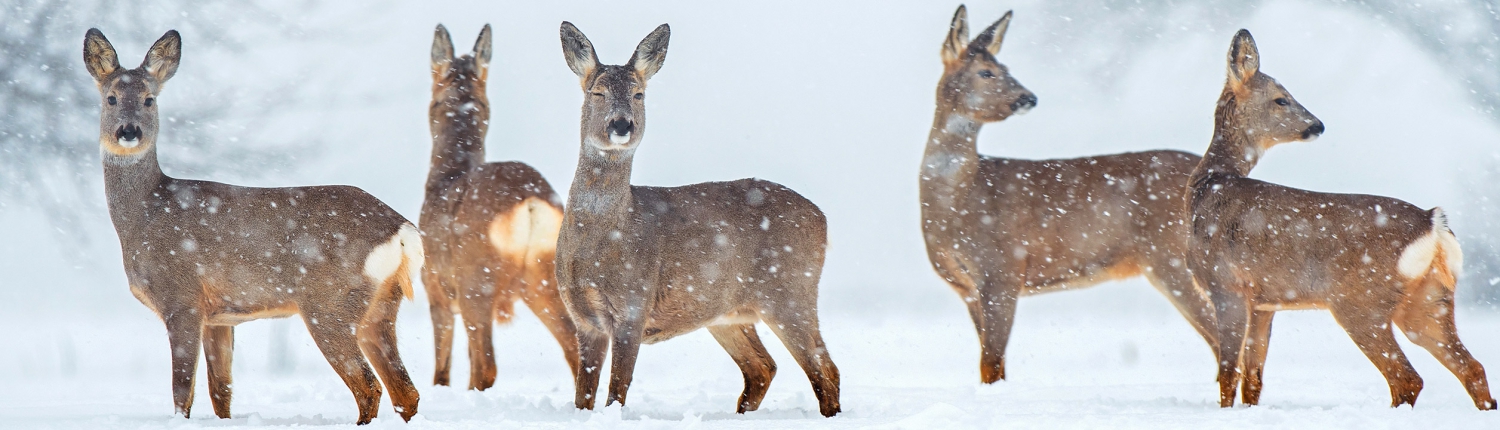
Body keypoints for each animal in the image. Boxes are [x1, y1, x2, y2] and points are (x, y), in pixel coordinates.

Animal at [83, 29, 423, 425]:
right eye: (111, 98)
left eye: (149, 99)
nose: (129, 131)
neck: (145, 212)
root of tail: (402, 230)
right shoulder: (218, 316)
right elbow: (221, 392)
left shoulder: (182, 298)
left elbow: (182, 392)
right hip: (381, 304)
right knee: (406, 392)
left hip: (329, 303)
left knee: (370, 387)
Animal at [429, 25, 585, 392]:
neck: (445, 177)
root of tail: (530, 201)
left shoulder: (435, 288)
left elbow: (441, 371)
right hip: (546, 276)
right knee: (575, 345)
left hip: (476, 280)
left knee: (486, 366)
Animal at [558, 21, 846, 419]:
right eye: (596, 92)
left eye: (639, 94)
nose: (621, 124)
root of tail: (823, 218)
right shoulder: (582, 316)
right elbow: (583, 394)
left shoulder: (634, 303)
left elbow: (617, 389)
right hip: (728, 314)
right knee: (763, 367)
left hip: (791, 290)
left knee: (825, 368)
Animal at [918, 5, 1224, 383]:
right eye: (986, 72)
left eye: (1006, 68)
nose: (1028, 97)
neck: (957, 203)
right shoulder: (968, 289)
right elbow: (993, 365)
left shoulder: (1002, 269)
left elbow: (991, 362)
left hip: (1172, 258)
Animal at [1188, 28, 1494, 410]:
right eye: (1281, 99)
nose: (1317, 125)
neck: (1211, 185)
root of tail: (1433, 224)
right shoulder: (1264, 302)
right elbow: (1254, 378)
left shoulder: (1226, 284)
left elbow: (1229, 372)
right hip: (1429, 300)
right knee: (1472, 367)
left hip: (1359, 301)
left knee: (1407, 377)